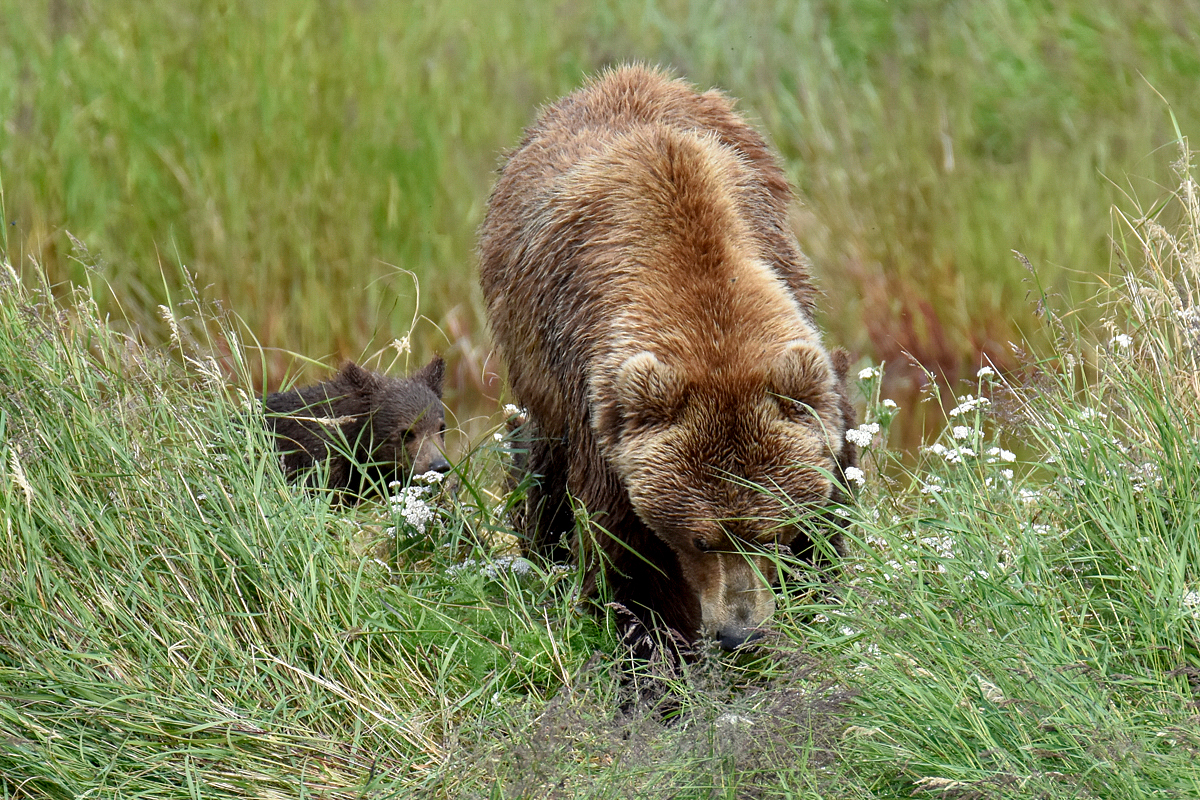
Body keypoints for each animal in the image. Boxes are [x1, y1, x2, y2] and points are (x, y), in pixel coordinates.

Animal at [477, 67, 854, 657]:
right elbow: (623, 549)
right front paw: (652, 637)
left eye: (773, 531)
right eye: (700, 538)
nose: (739, 632)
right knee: (541, 472)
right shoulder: (596, 409)